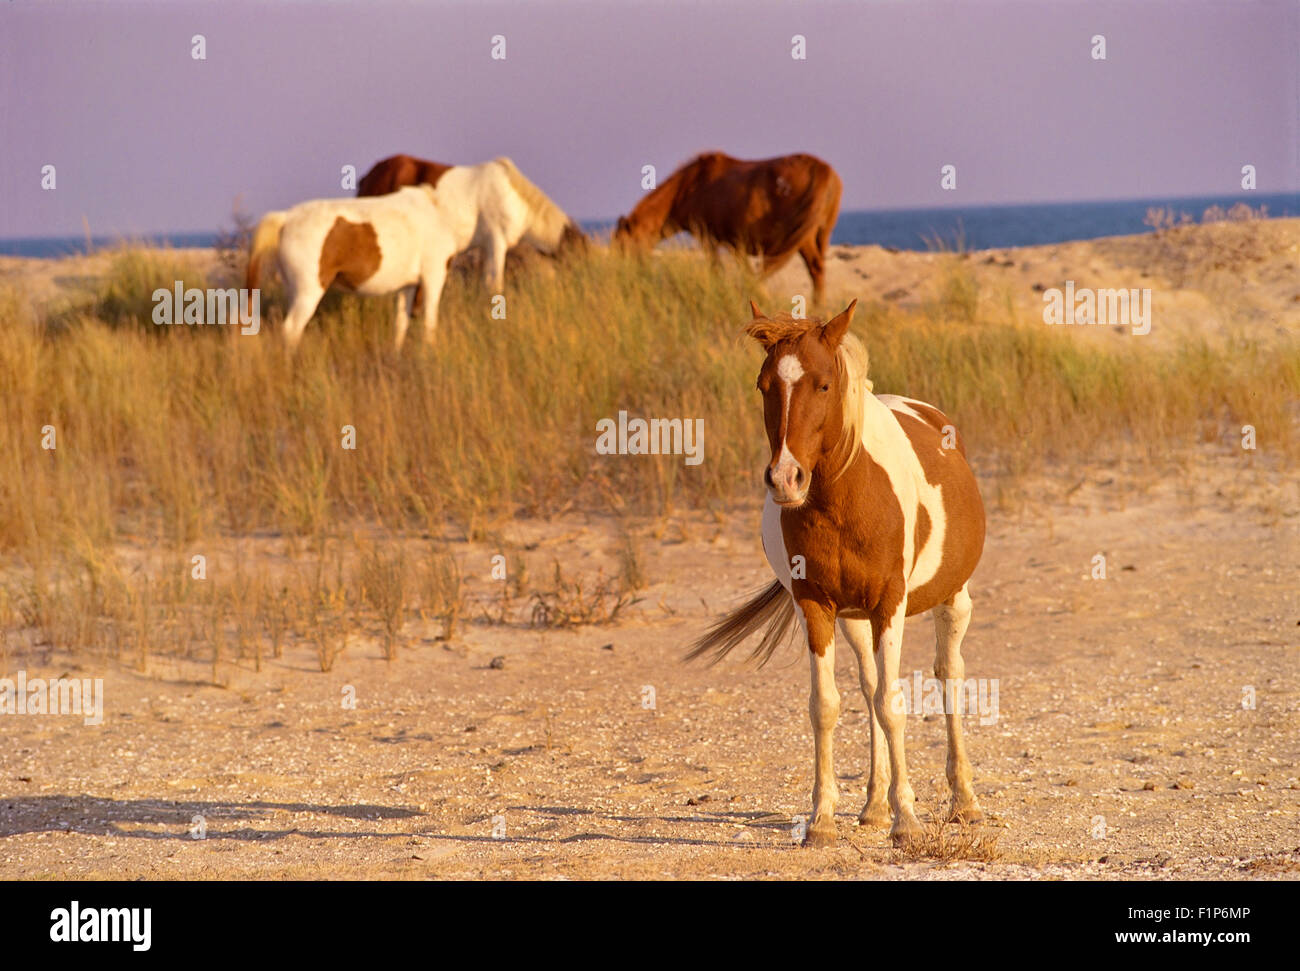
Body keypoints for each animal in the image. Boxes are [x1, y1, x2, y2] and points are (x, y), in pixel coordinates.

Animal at [243, 157, 585, 356]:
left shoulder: (408, 285)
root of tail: (285, 218)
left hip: (295, 290)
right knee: (291, 330)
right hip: (309, 292)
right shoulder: (449, 268)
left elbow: (401, 323)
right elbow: (435, 316)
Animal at [611, 150, 837, 304]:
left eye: (623, 247)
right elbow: (745, 271)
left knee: (815, 268)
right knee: (818, 269)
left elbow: (717, 270)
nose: (623, 278)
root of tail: (821, 169)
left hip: (803, 238)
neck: (688, 186)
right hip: (819, 236)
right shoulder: (734, 244)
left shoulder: (709, 239)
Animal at [691, 300, 982, 847]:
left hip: (952, 598)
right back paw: (873, 807)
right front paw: (824, 820)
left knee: (948, 674)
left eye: (824, 384)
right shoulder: (817, 606)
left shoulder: (891, 603)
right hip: (854, 620)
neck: (847, 500)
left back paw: (965, 802)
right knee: (868, 686)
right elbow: (827, 706)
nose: (785, 479)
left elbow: (893, 704)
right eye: (763, 385)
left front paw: (908, 821)